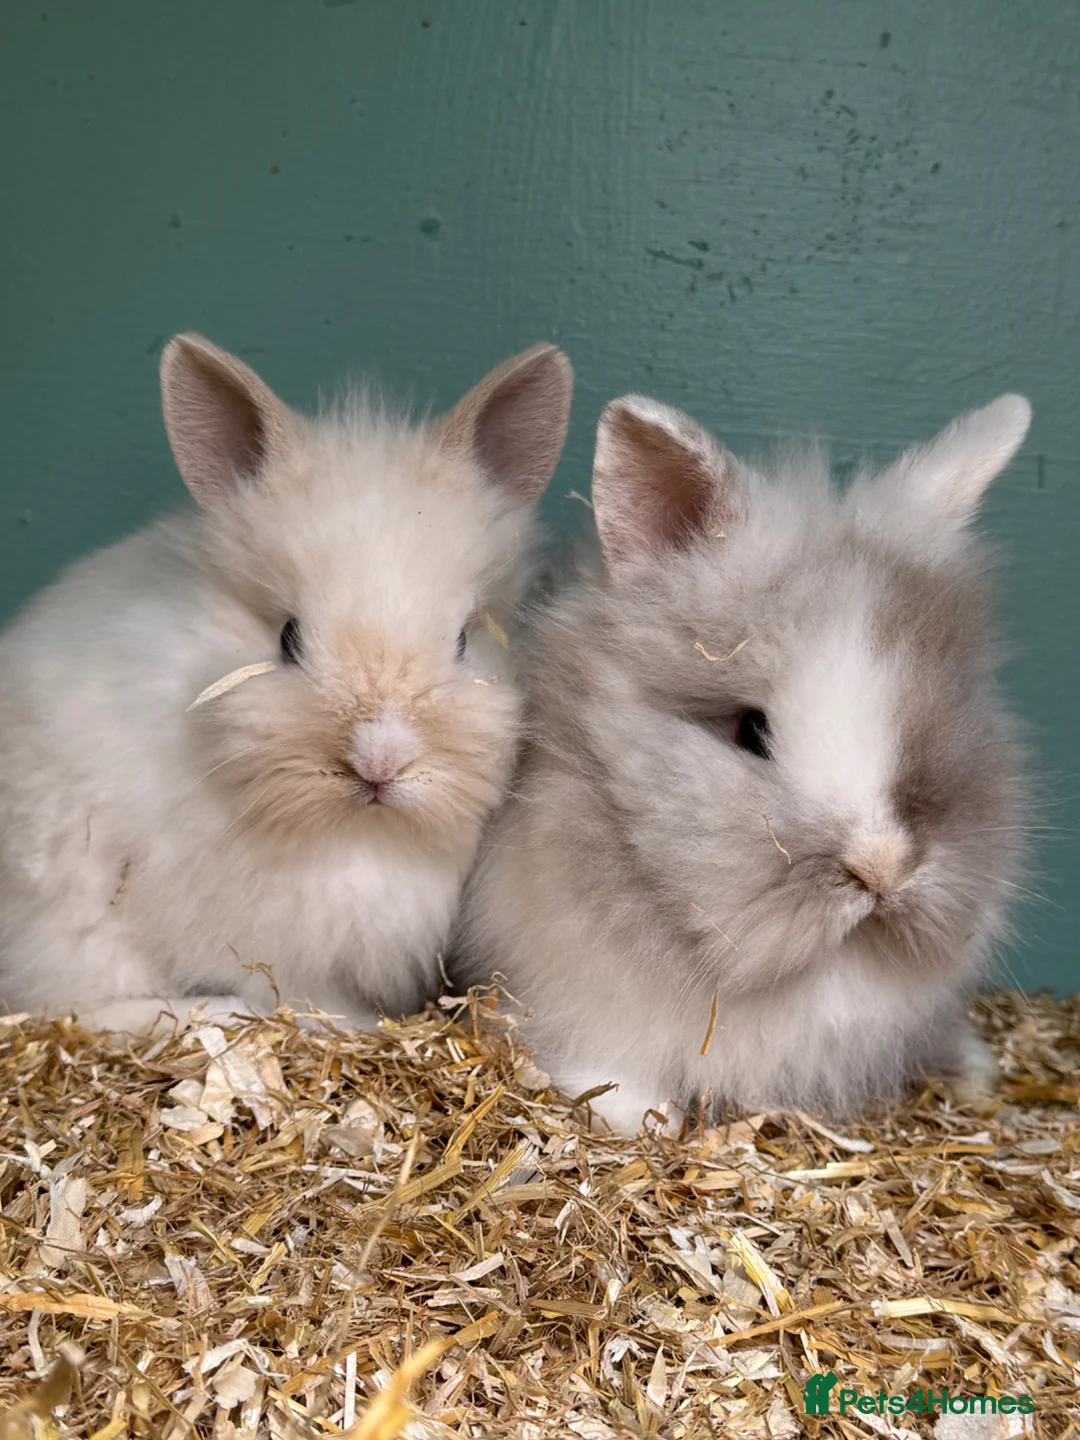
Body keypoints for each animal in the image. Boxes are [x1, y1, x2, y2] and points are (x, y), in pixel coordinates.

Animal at [0, 333, 573, 1035]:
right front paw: (346, 1026)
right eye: (288, 637)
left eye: (465, 640)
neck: (357, 838)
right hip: (65, 920)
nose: (379, 759)